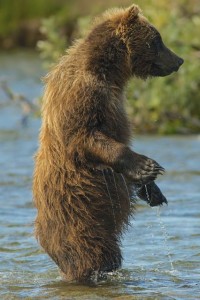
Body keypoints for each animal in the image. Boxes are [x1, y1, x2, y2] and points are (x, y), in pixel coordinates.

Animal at [33, 4, 184, 284]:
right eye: (157, 39)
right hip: (80, 213)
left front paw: (153, 191)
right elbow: (87, 137)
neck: (109, 72)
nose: (179, 60)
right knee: (95, 252)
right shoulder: (81, 96)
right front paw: (148, 167)